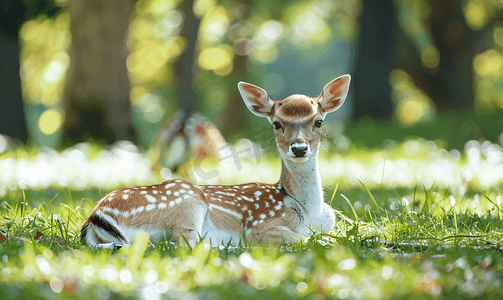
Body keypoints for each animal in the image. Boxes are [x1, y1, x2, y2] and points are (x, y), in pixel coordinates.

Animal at [80, 74, 352, 246]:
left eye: (319, 121)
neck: (309, 210)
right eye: (277, 123)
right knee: (183, 245)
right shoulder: (259, 226)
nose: (299, 148)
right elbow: (309, 240)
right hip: (187, 203)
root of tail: (95, 217)